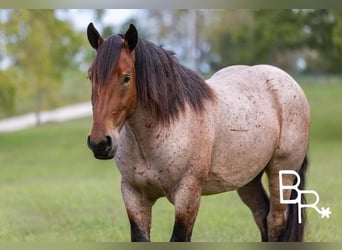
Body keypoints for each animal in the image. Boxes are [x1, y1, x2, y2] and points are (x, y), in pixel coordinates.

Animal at [85, 22, 310, 241]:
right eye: (90, 77)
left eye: (126, 77)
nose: (100, 143)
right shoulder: (134, 196)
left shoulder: (187, 197)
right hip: (248, 179)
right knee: (261, 215)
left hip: (281, 172)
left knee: (275, 222)